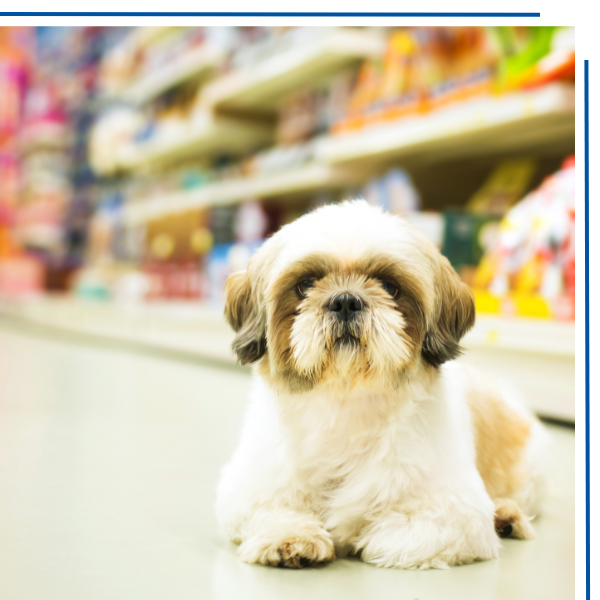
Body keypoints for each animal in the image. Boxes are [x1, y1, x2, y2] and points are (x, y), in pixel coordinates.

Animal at [216, 199, 548, 568]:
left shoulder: (456, 516)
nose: (346, 300)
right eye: (305, 284)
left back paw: (505, 515)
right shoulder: (247, 492)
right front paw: (292, 537)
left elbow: (381, 531)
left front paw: (351, 532)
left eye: (390, 287)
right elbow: (272, 511)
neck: (345, 407)